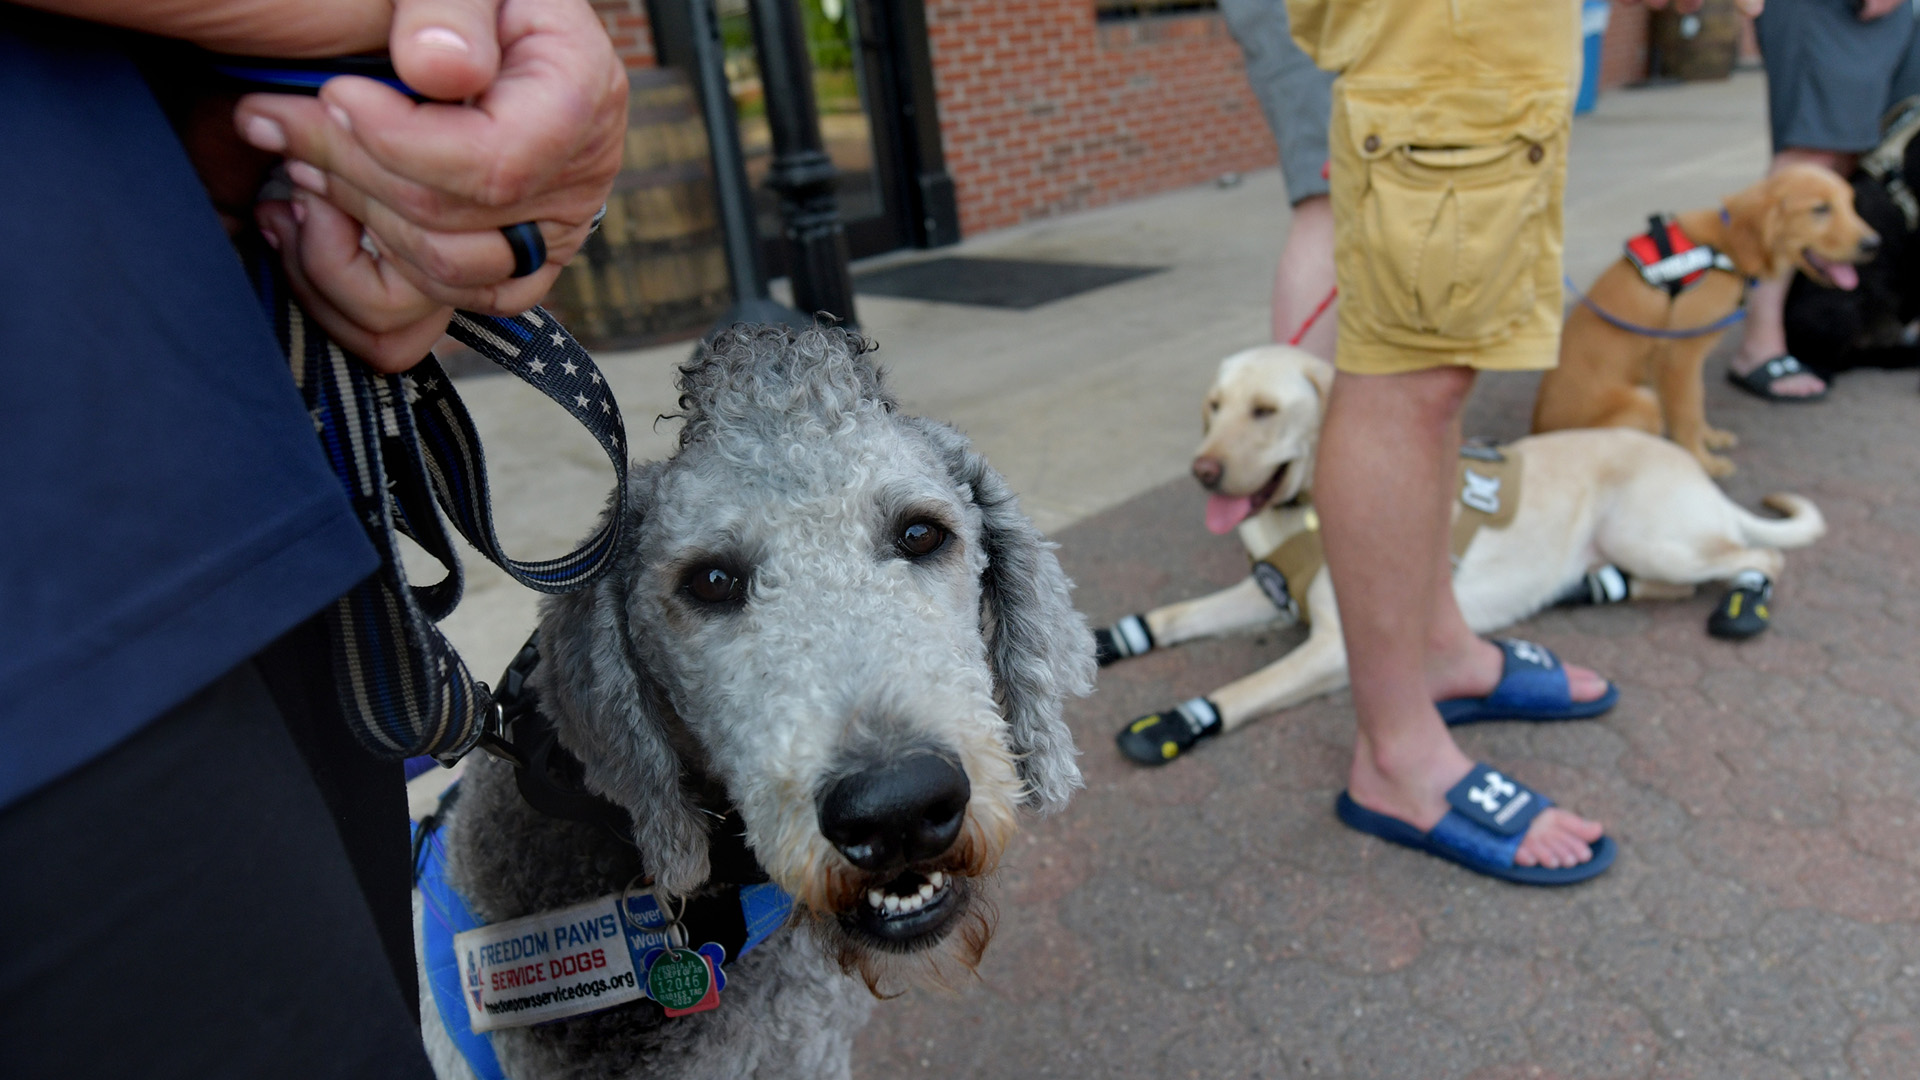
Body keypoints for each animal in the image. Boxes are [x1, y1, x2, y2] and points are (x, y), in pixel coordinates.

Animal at [1105, 349, 1820, 760]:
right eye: (1215, 406)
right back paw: (1592, 585)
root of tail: (1696, 471)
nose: (1202, 471)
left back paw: (1741, 607)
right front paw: (1110, 639)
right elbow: (1173, 615)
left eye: (1265, 411)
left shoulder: (1337, 643)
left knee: (1760, 561)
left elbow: (1247, 685)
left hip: (1651, 536)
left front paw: (1176, 721)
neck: (1299, 507)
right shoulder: (1267, 590)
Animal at [1528, 163, 1873, 470]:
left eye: (1850, 204)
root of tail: (1537, 435)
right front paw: (1702, 462)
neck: (1724, 248)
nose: (1874, 243)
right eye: (1820, 209)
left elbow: (1697, 399)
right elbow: (1687, 410)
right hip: (1642, 402)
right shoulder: (1679, 356)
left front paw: (1709, 439)